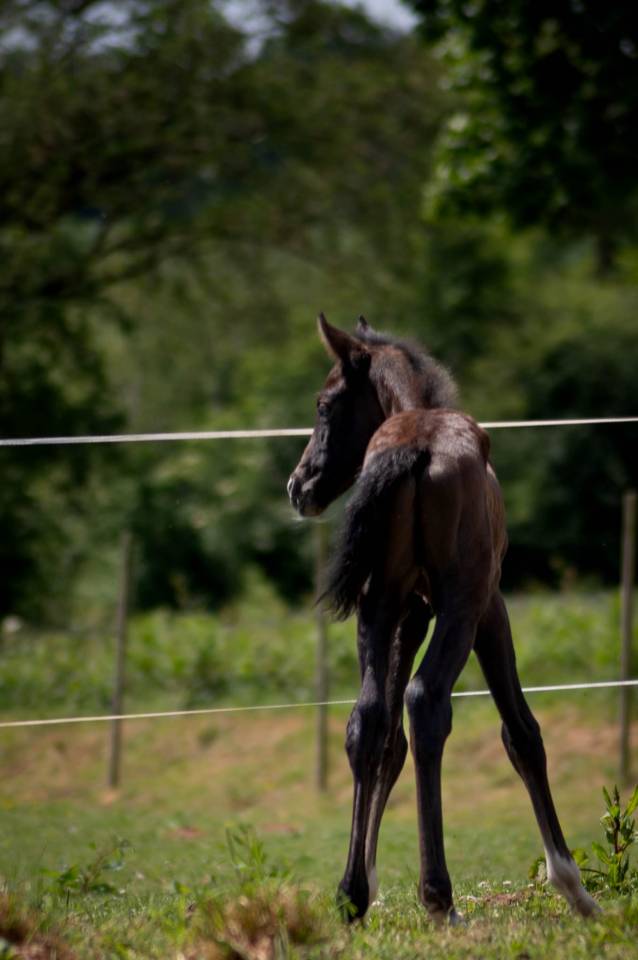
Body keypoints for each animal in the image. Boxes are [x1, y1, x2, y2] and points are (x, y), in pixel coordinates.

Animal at [287, 314, 599, 924]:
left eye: (324, 404)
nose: (298, 486)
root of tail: (415, 448)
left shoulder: (409, 609)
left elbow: (385, 740)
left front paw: (368, 883)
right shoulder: (488, 603)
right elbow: (521, 732)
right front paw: (573, 885)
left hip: (380, 604)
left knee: (369, 718)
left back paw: (350, 895)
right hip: (462, 601)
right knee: (426, 702)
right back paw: (440, 899)